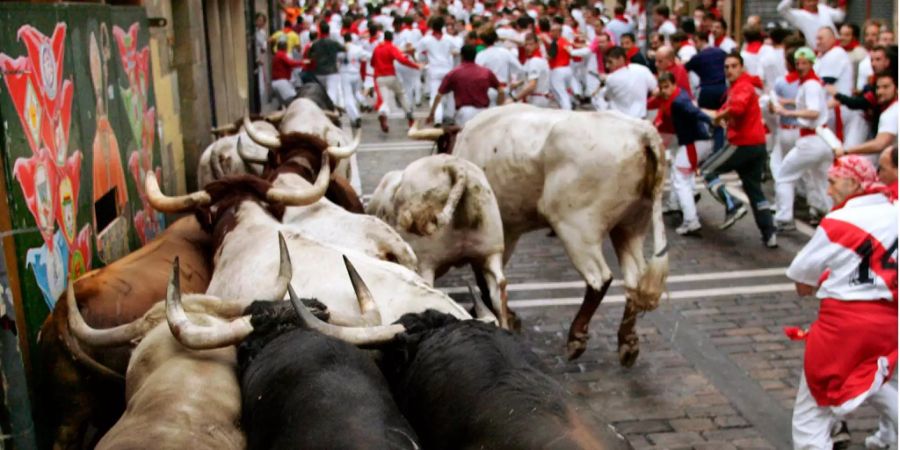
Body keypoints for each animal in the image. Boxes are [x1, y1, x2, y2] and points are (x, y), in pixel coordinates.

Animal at [414, 105, 668, 366]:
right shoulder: (507, 231)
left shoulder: (498, 235)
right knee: (634, 281)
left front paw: (503, 315)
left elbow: (486, 278)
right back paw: (628, 342)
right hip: (630, 226)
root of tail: (640, 132)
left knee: (600, 279)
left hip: (577, 228)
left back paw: (576, 337)